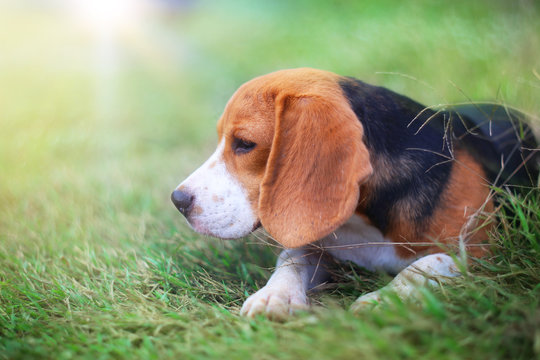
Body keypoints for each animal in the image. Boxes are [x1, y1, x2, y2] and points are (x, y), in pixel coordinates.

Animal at [171, 69, 536, 320]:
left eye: (244, 144)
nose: (178, 200)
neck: (365, 222)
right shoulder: (317, 242)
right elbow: (291, 258)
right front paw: (275, 295)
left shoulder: (480, 249)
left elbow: (426, 265)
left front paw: (384, 299)